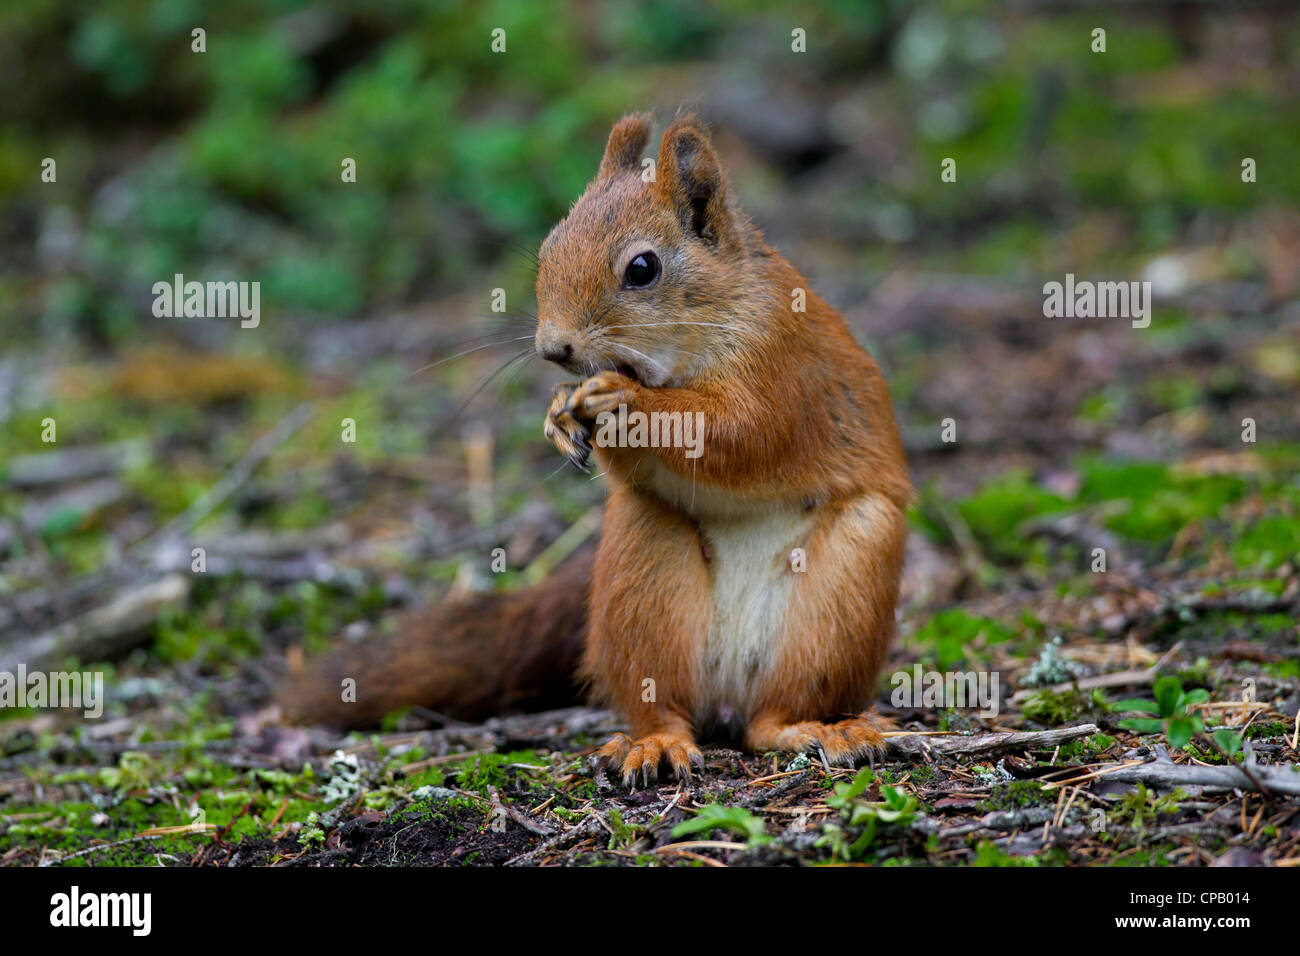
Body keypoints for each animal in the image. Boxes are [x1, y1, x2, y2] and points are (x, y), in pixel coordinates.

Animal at [280, 113, 913, 785]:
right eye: (548, 248)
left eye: (642, 269)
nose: (553, 349)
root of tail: (730, 699)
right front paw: (559, 413)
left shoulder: (782, 366)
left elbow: (742, 431)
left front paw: (626, 402)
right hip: (641, 569)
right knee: (663, 703)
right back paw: (656, 743)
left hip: (848, 584)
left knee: (774, 714)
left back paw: (816, 729)